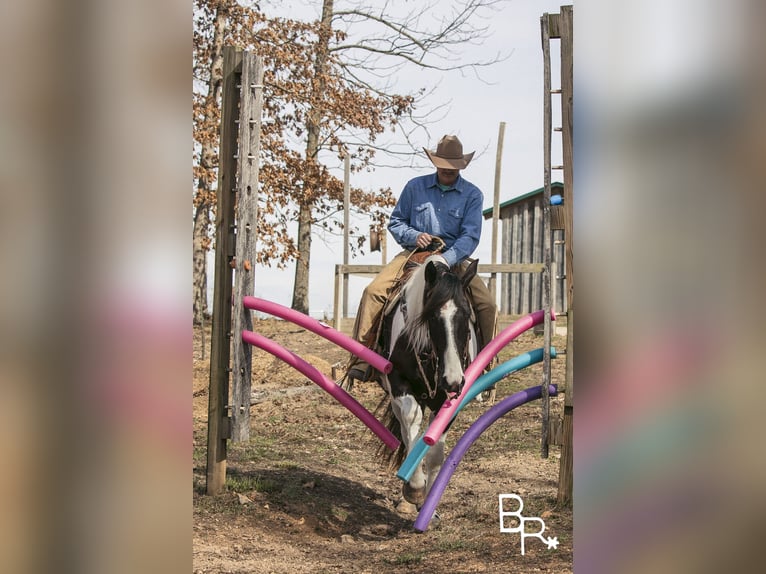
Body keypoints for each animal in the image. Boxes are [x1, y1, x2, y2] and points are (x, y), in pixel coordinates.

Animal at [378, 255, 480, 508]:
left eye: (466, 314)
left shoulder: (451, 400)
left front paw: (429, 503)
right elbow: (411, 423)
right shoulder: (399, 383)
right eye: (432, 316)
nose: (452, 380)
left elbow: (435, 453)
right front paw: (415, 488)